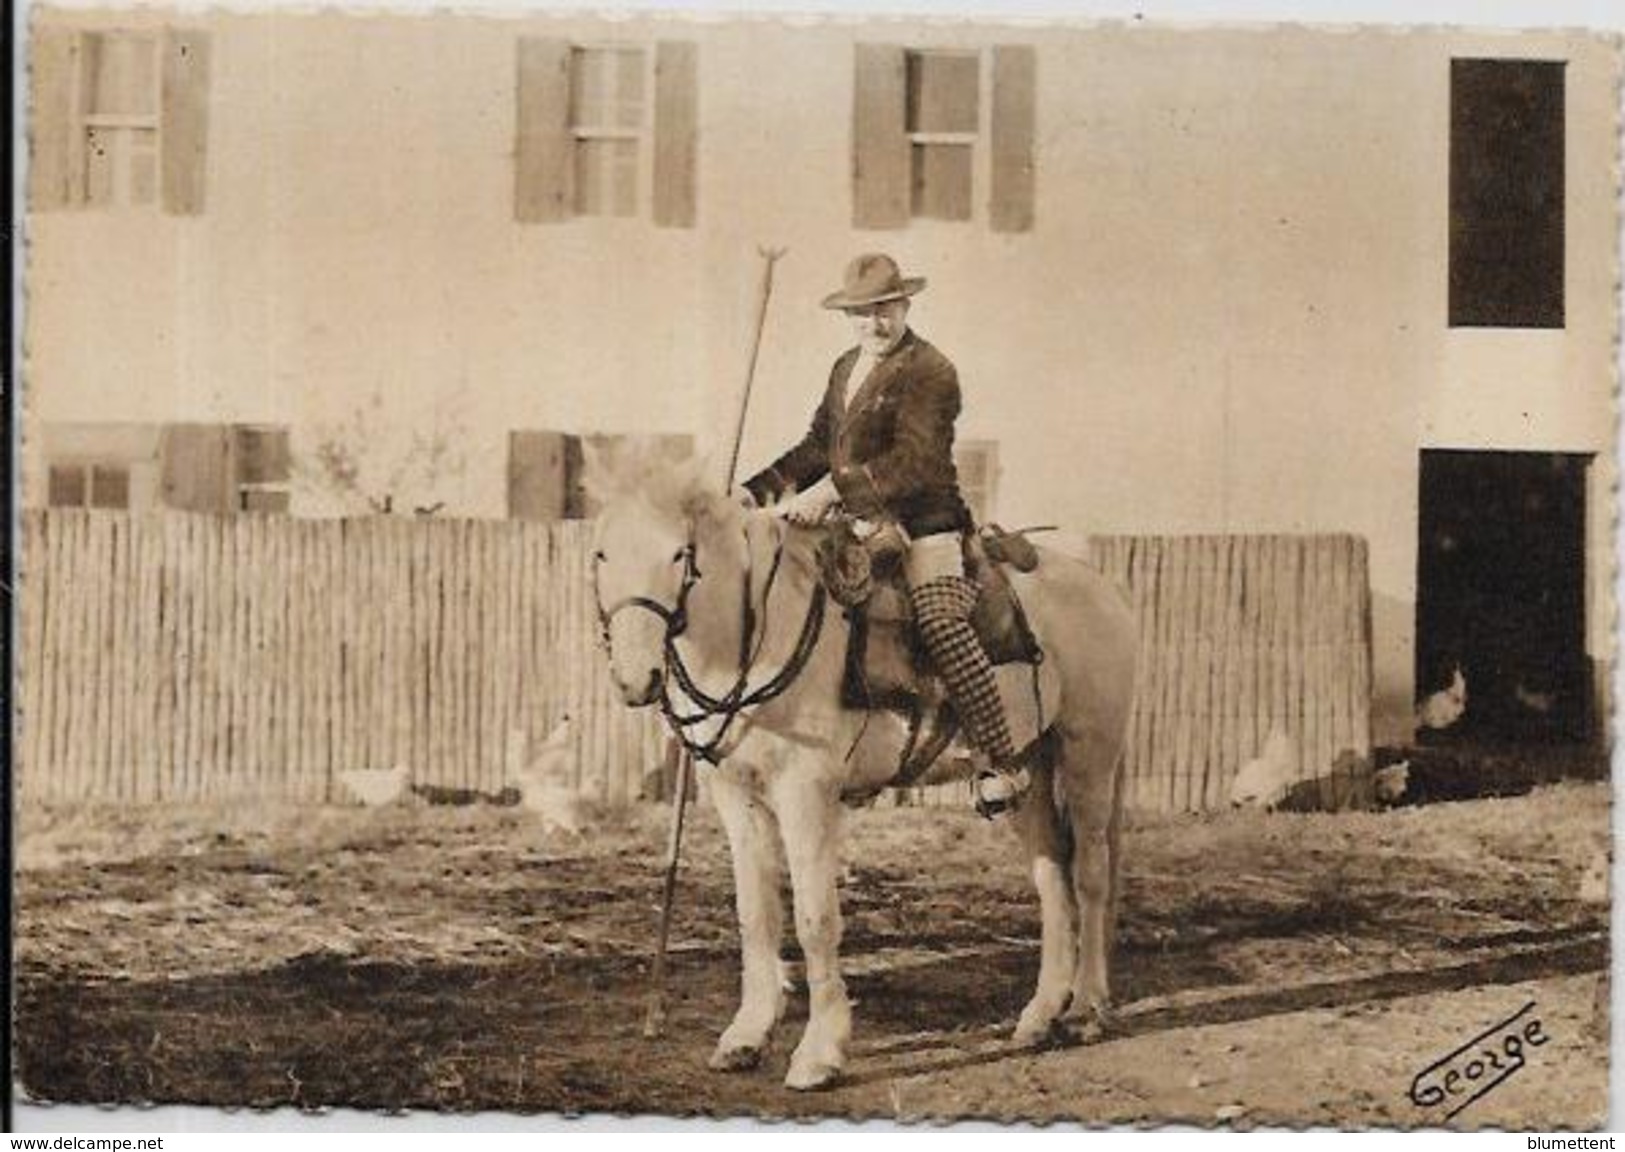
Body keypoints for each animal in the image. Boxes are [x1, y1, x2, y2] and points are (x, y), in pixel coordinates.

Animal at [591, 445, 1137, 1091]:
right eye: (602, 553)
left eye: (679, 554)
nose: (635, 679)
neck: (759, 632)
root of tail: (1102, 587)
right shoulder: (736, 795)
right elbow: (756, 914)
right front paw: (746, 1036)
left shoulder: (805, 793)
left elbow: (815, 918)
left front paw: (819, 1052)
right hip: (1027, 766)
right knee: (1052, 877)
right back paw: (1040, 1015)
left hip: (1088, 755)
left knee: (1091, 876)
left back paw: (1087, 1009)